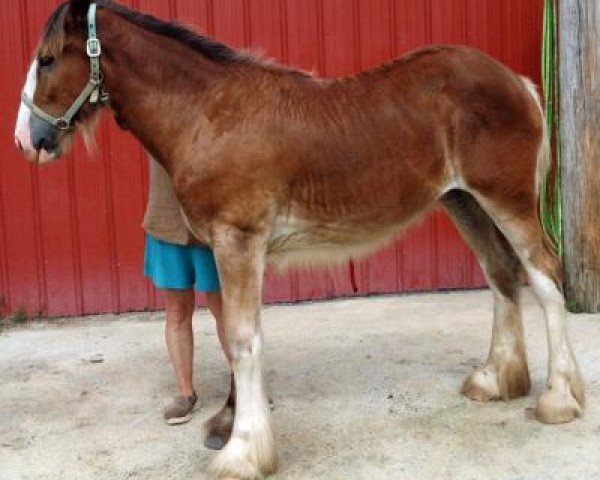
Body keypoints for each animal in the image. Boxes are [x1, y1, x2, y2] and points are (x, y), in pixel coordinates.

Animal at [15, 1, 584, 478]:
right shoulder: (226, 248)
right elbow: (233, 337)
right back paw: (495, 380)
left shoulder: (238, 242)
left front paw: (243, 453)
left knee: (545, 278)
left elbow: (242, 341)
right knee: (501, 274)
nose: (28, 141)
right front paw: (232, 430)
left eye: (47, 60)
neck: (207, 113)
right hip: (463, 201)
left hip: (507, 201)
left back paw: (558, 398)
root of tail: (516, 81)